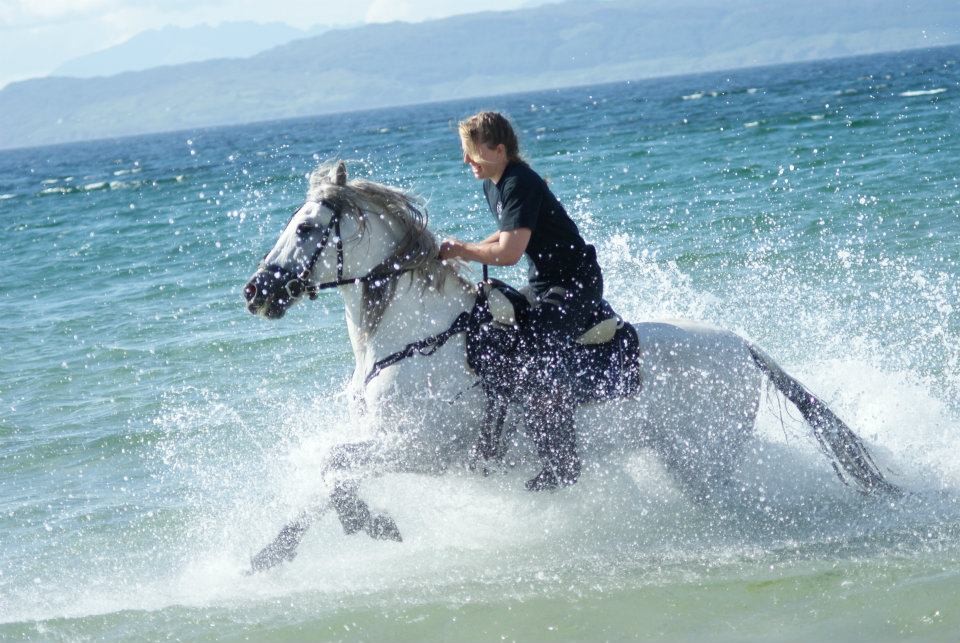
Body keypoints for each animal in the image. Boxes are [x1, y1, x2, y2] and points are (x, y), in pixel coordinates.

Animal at [240, 162, 900, 572]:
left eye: (305, 227)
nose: (255, 292)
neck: (420, 340)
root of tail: (743, 346)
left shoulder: (421, 448)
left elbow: (333, 467)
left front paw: (371, 525)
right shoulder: (392, 443)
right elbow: (327, 475)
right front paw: (272, 553)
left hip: (705, 463)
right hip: (688, 460)